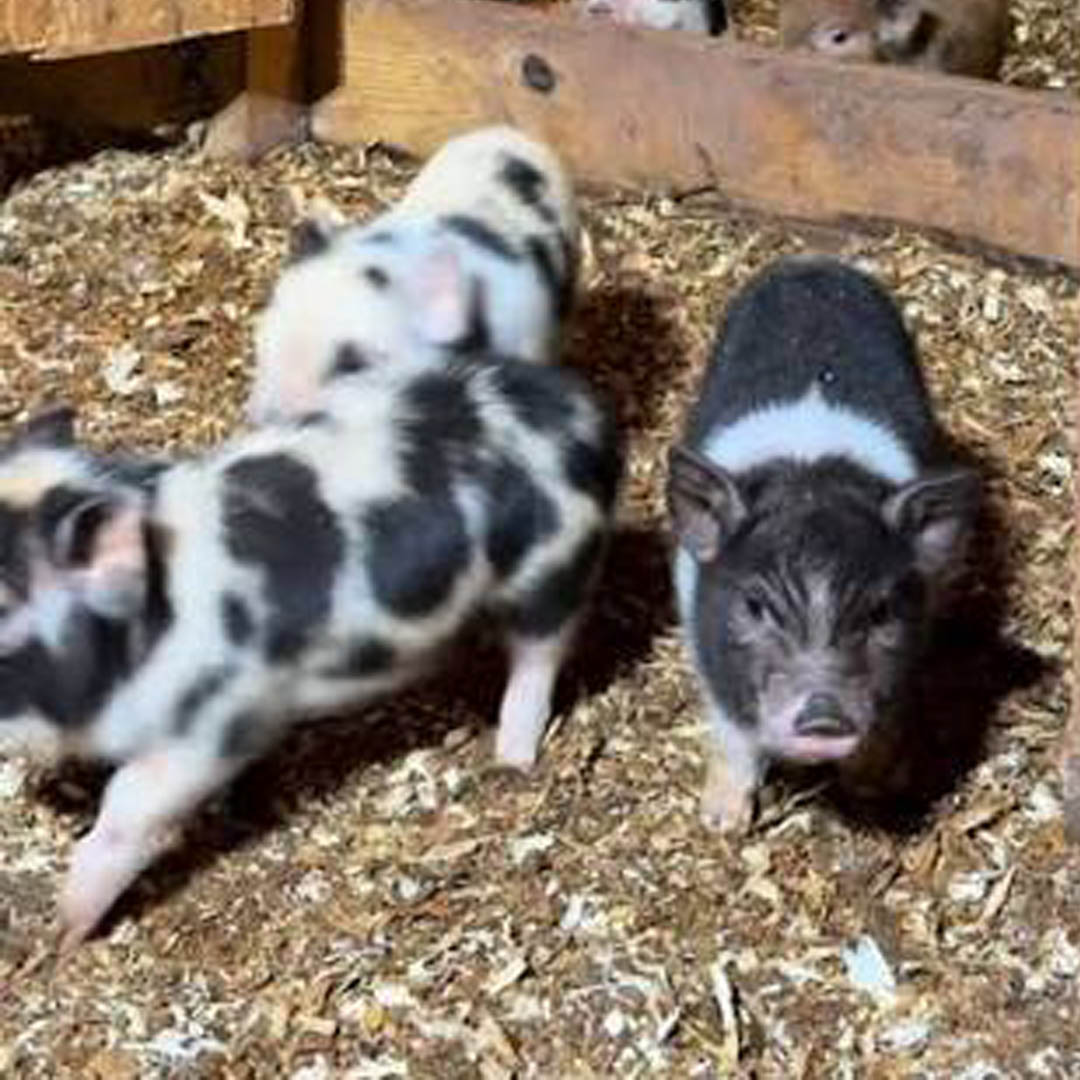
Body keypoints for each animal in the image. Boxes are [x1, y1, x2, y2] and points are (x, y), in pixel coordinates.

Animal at [0, 350, 620, 949]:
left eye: (4, 606)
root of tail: (586, 413)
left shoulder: (213, 720)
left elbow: (129, 803)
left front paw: (61, 933)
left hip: (551, 567)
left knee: (540, 654)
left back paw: (511, 758)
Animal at [666, 256, 980, 831]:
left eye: (880, 612)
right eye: (755, 605)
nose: (823, 717)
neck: (811, 478)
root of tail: (812, 264)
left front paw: (874, 787)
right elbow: (732, 737)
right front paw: (720, 822)